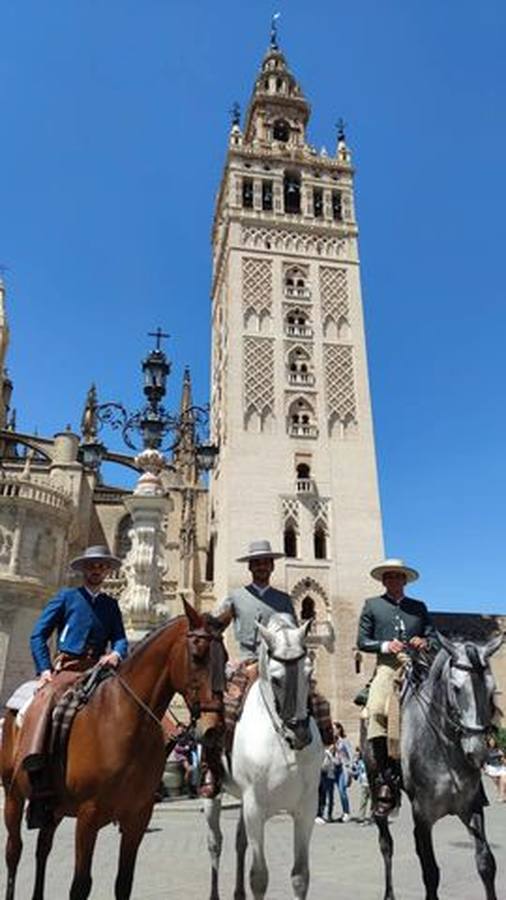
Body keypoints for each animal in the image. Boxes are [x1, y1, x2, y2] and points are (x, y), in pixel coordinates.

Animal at [0, 600, 225, 896]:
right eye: (197, 655)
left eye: (225, 660)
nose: (214, 729)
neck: (124, 718)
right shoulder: (88, 816)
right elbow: (80, 885)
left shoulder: (138, 816)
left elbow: (124, 882)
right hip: (13, 792)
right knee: (14, 851)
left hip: (52, 804)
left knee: (42, 848)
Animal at [204, 616, 322, 900]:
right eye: (276, 679)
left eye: (309, 673)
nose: (300, 734)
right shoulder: (255, 807)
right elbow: (259, 877)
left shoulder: (307, 807)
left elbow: (300, 875)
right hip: (215, 792)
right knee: (215, 843)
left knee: (240, 841)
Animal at [366, 632, 504, 900]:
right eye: (457, 688)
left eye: (492, 690)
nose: (478, 750)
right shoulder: (423, 815)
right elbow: (430, 872)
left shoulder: (471, 807)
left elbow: (486, 863)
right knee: (386, 844)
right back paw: (389, 893)